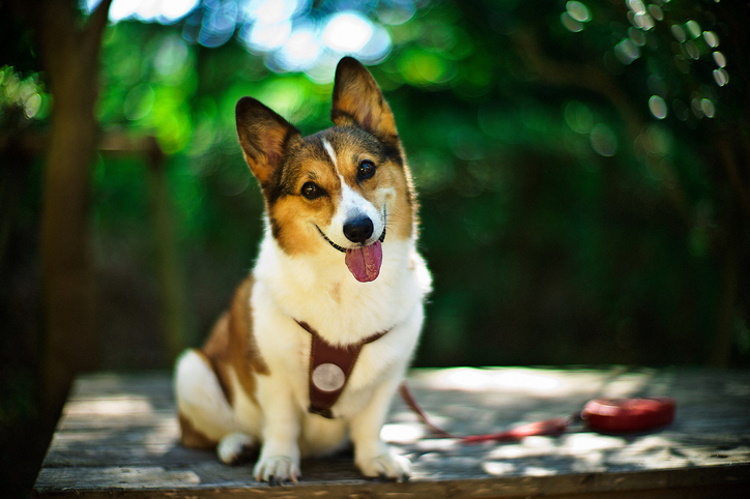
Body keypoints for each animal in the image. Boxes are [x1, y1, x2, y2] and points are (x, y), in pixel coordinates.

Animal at [176, 57, 432, 484]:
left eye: (366, 168)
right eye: (310, 190)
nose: (359, 229)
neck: (345, 286)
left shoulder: (388, 376)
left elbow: (370, 422)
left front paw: (375, 458)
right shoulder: (271, 374)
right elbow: (281, 422)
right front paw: (279, 460)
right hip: (192, 371)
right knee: (206, 434)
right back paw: (236, 444)